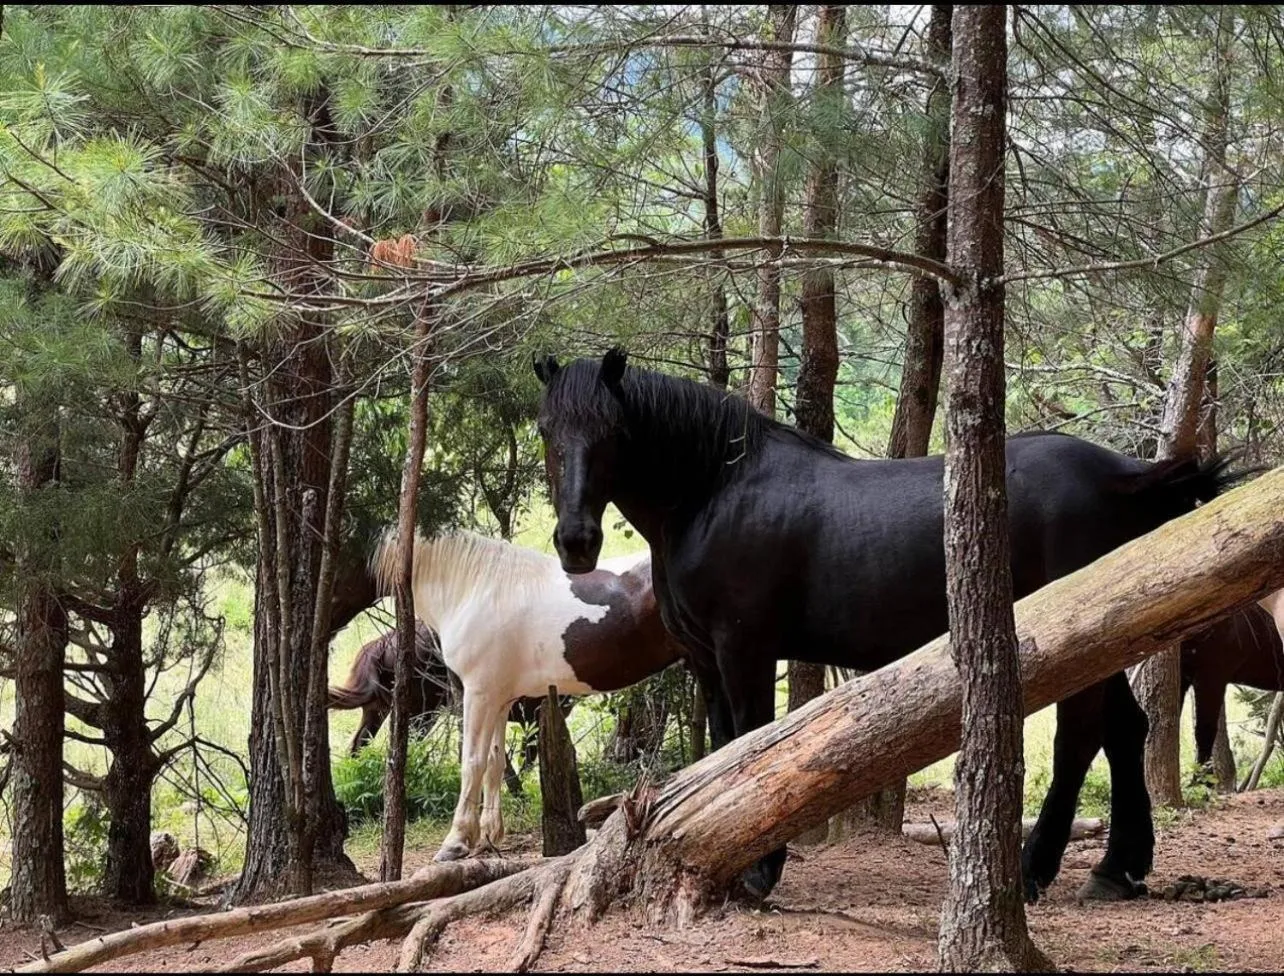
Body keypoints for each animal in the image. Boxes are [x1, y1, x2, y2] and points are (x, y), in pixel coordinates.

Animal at [326, 621, 567, 794]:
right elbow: (529, 757)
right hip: (421, 709)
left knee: (359, 743)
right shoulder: (537, 714)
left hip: (379, 708)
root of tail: (379, 645)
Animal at [369, 530, 685, 861]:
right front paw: (488, 837)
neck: (475, 589)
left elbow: (472, 762)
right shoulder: (499, 698)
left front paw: (456, 842)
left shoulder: (478, 694)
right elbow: (494, 762)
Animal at [533, 348, 1248, 904]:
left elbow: (750, 744)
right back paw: (1117, 869)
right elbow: (722, 748)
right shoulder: (704, 659)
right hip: (1107, 635)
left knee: (1079, 738)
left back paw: (1033, 869)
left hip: (1081, 634)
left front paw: (760, 870)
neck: (716, 492)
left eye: (614, 431)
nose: (576, 542)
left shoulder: (744, 650)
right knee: (1126, 730)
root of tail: (1126, 475)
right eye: (546, 429)